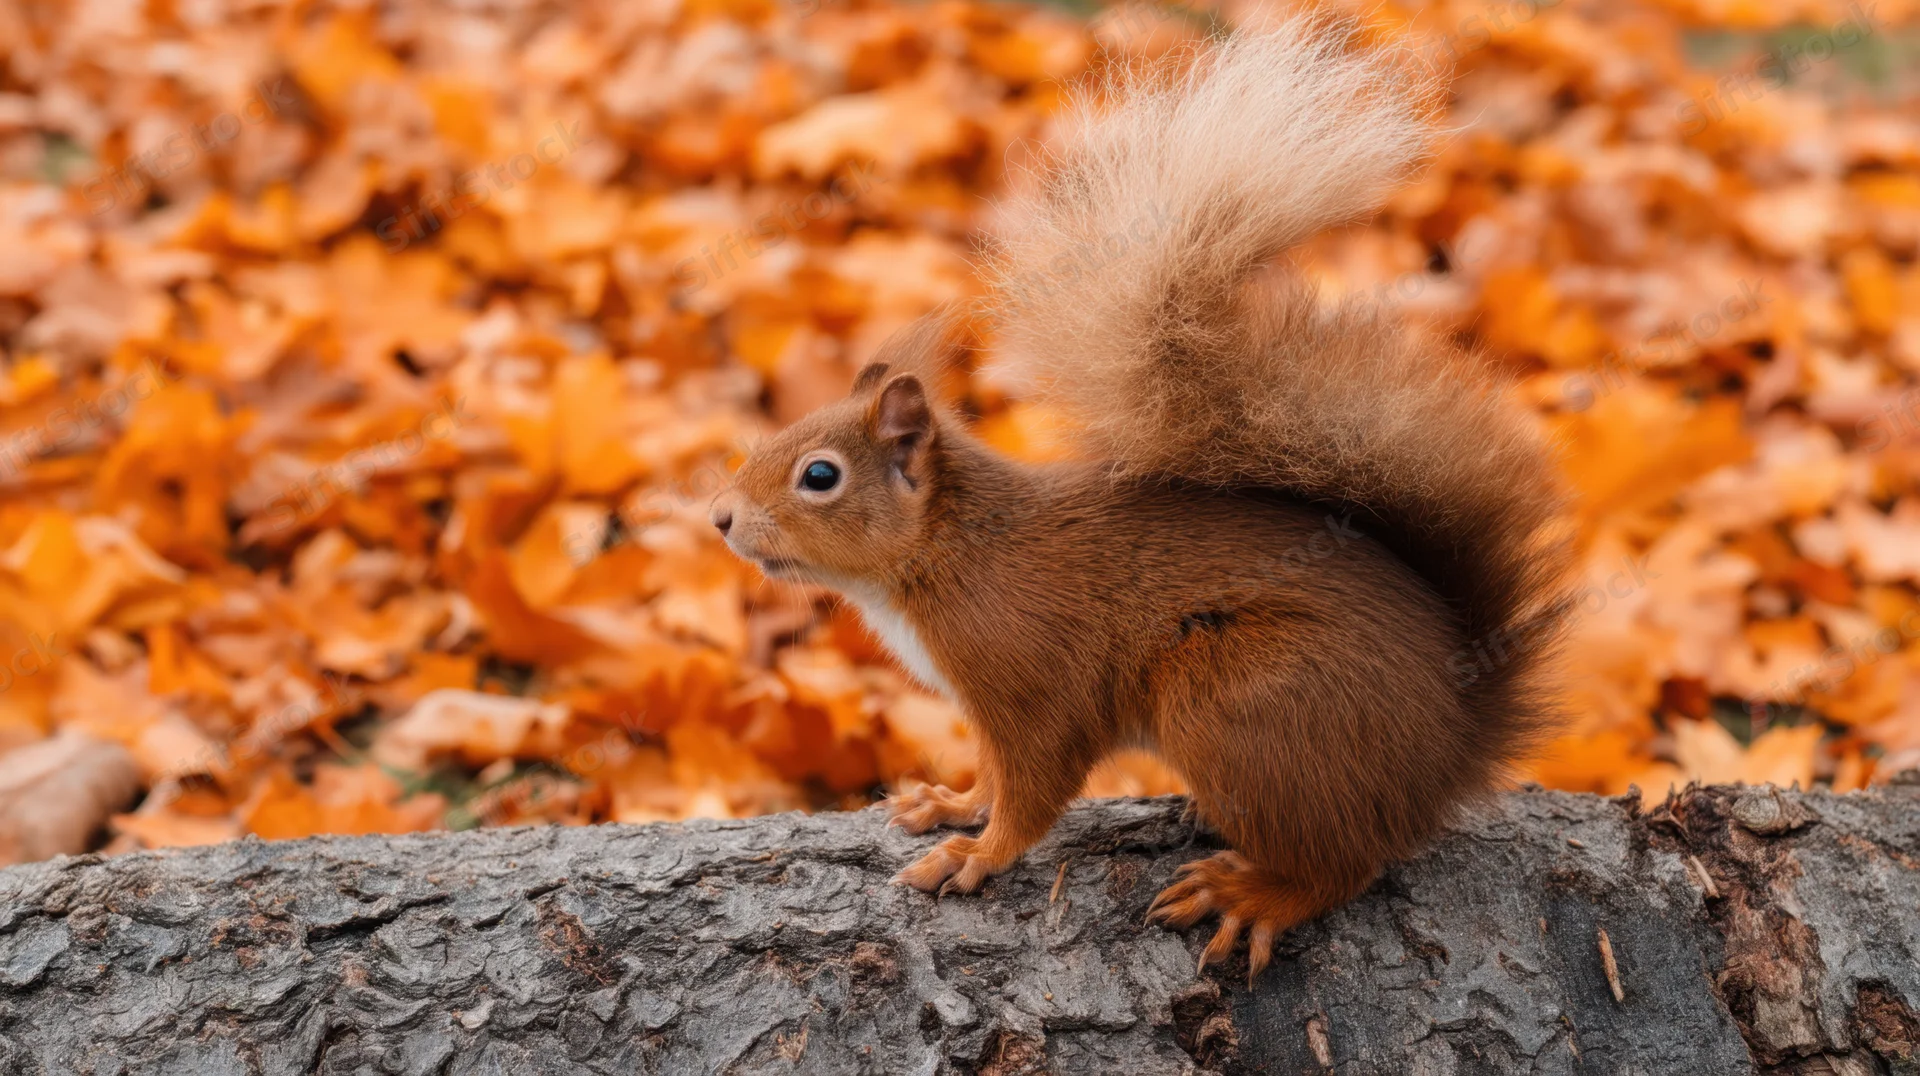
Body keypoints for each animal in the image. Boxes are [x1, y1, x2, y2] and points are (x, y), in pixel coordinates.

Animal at [708, 19, 1571, 980]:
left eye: (819, 475)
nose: (721, 518)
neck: (949, 553)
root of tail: (1452, 746)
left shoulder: (1029, 674)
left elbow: (1035, 786)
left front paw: (978, 856)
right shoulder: (984, 706)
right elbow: (991, 775)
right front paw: (950, 804)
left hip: (1239, 697)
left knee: (1344, 864)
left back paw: (1253, 893)